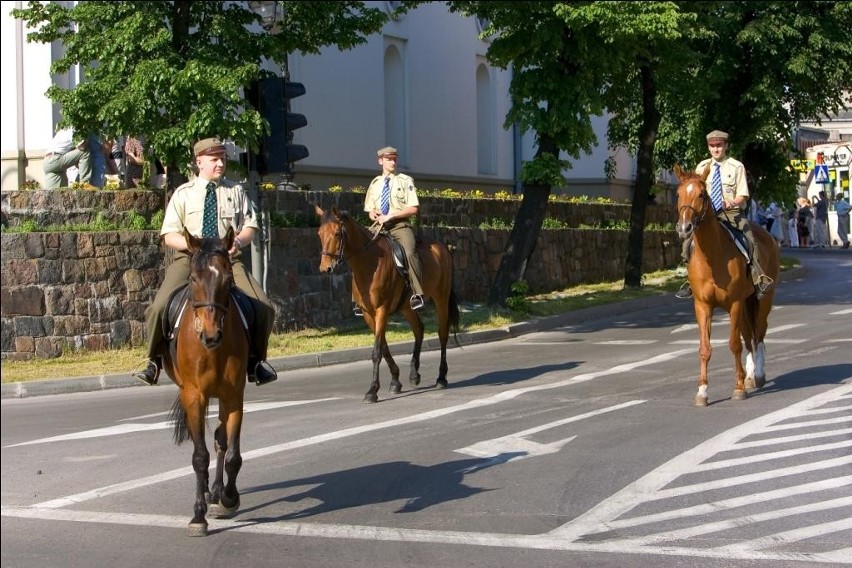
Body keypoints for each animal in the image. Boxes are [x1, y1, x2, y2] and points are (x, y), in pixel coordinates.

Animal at [164, 227, 250, 536]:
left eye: (228, 278)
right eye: (193, 278)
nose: (211, 334)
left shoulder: (233, 396)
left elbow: (232, 452)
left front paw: (228, 499)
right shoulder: (194, 396)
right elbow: (199, 456)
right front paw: (198, 515)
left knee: (220, 441)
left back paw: (216, 492)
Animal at [314, 205, 460, 404]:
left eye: (337, 233)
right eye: (320, 233)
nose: (325, 268)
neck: (369, 262)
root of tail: (443, 248)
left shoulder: (381, 310)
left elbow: (376, 351)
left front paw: (372, 391)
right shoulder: (368, 314)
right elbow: (383, 347)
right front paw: (395, 381)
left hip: (441, 298)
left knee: (442, 334)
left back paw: (441, 378)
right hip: (406, 307)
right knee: (419, 329)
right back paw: (414, 374)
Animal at [676, 166, 784, 406]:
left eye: (702, 195)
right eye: (678, 194)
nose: (685, 227)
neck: (713, 256)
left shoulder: (734, 303)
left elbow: (734, 344)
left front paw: (738, 388)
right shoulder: (703, 305)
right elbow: (705, 348)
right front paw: (702, 392)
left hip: (763, 299)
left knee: (759, 334)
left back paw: (758, 375)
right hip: (745, 304)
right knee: (749, 336)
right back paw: (751, 375)